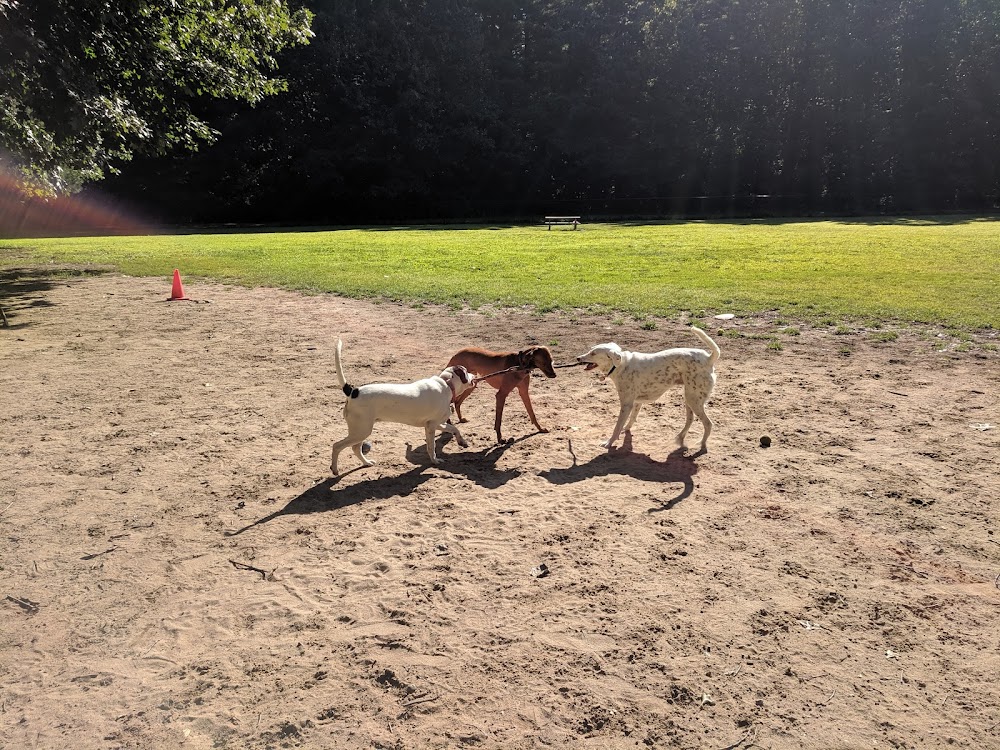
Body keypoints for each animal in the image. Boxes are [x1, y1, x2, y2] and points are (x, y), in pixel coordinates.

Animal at [330, 340, 474, 476]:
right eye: (467, 372)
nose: (474, 376)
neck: (446, 384)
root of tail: (352, 391)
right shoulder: (431, 426)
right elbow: (431, 447)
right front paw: (435, 461)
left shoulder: (436, 424)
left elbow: (454, 429)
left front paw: (462, 442)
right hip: (361, 431)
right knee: (337, 446)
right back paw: (335, 469)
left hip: (361, 431)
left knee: (355, 448)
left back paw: (366, 463)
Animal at [576, 328, 724, 452]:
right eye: (591, 350)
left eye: (594, 353)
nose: (578, 358)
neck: (621, 365)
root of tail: (709, 358)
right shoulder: (636, 402)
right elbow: (631, 419)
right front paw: (626, 430)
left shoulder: (626, 404)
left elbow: (617, 426)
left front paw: (609, 442)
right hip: (689, 398)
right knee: (690, 419)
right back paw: (680, 438)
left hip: (693, 400)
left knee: (708, 424)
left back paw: (702, 445)